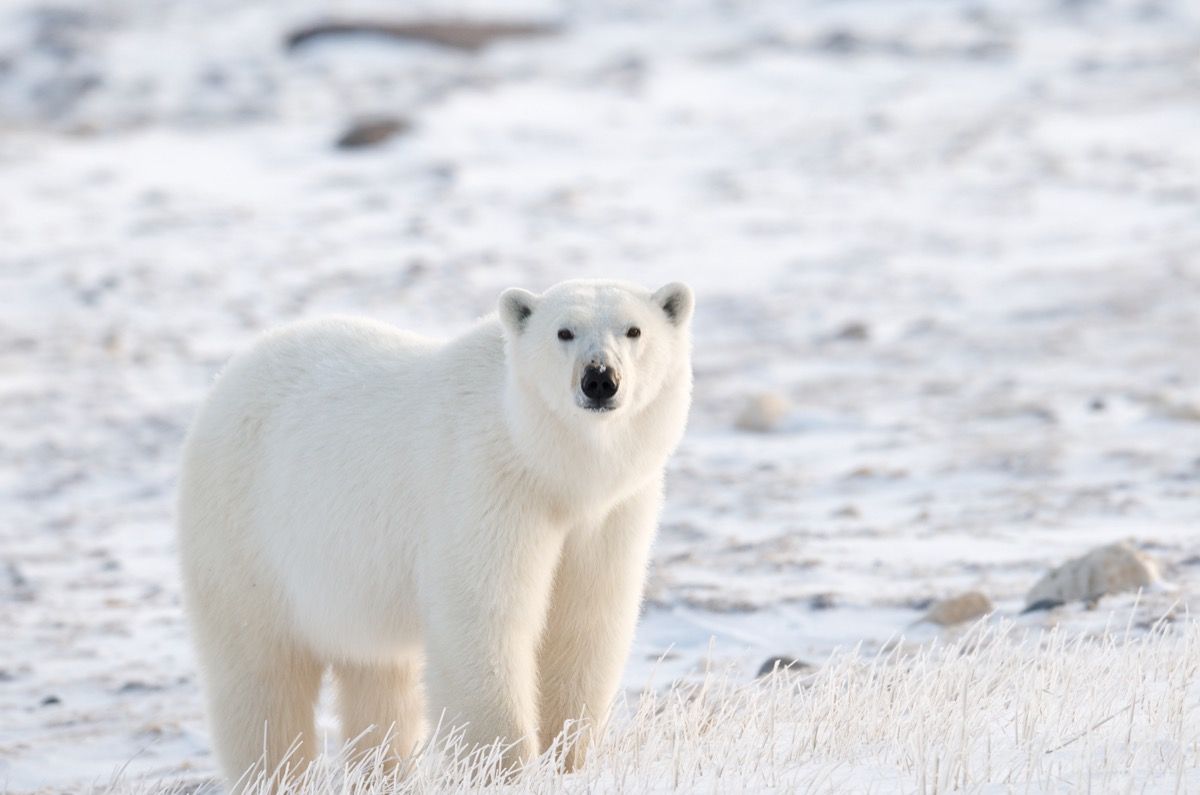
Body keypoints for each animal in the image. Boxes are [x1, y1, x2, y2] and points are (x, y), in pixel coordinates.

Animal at [175, 278, 696, 782]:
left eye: (634, 330)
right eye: (563, 332)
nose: (600, 379)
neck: (549, 467)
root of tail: (231, 373)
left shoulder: (609, 514)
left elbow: (584, 622)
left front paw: (568, 759)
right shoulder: (485, 487)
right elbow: (484, 619)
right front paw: (504, 768)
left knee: (379, 682)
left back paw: (384, 774)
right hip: (245, 538)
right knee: (261, 679)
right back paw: (274, 773)